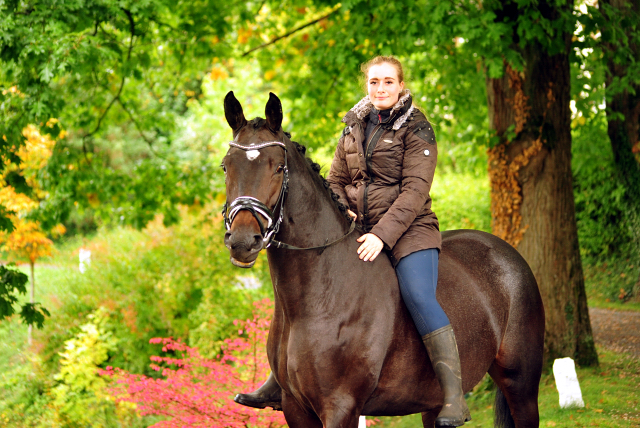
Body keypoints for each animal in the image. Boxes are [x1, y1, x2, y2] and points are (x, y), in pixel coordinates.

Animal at [221, 92, 544, 426]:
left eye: (277, 168)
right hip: (432, 403)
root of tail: (506, 252)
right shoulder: (294, 407)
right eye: (226, 167)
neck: (316, 299)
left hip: (520, 385)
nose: (243, 241)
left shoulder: (341, 406)